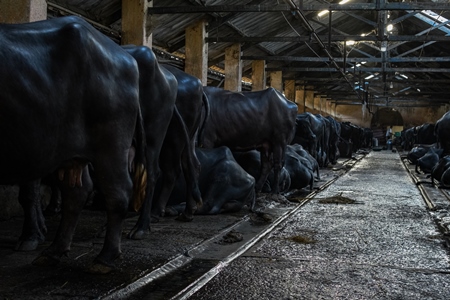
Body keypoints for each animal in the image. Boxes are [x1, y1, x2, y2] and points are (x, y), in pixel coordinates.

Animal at [0, 17, 144, 274]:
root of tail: (127, 58)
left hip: (111, 145)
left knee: (117, 192)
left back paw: (104, 257)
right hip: (70, 152)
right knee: (77, 193)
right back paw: (53, 251)